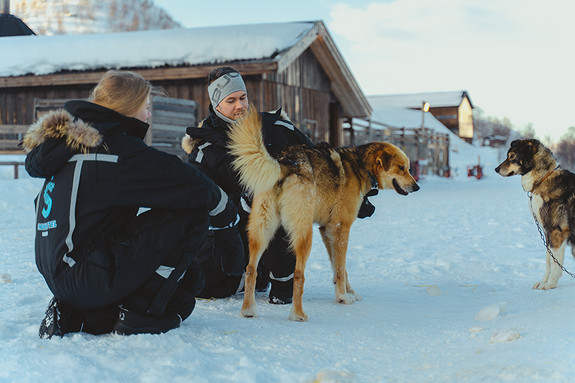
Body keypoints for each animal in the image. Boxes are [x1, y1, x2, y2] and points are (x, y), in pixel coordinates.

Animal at [230, 108, 424, 320]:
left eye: (408, 168)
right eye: (402, 168)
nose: (417, 186)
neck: (360, 166)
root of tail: (285, 162)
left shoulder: (327, 230)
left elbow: (340, 268)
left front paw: (350, 292)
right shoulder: (341, 228)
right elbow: (340, 268)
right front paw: (343, 297)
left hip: (261, 230)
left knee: (251, 269)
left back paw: (248, 310)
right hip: (304, 233)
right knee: (298, 274)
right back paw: (298, 314)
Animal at [496, 140, 575, 290]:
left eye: (512, 156)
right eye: (508, 155)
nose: (496, 169)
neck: (542, 179)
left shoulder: (556, 232)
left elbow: (555, 263)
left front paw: (550, 284)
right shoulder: (547, 233)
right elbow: (549, 260)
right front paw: (543, 282)